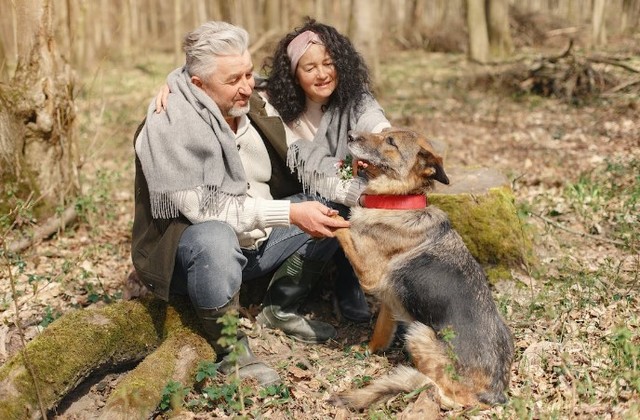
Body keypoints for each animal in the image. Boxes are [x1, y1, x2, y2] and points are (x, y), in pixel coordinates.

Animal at [330, 128, 514, 409]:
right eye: (383, 132)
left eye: (390, 142)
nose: (349, 135)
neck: (398, 203)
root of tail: (492, 395)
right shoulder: (390, 303)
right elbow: (378, 337)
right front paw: (368, 351)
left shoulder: (368, 275)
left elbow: (341, 227)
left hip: (419, 332)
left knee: (443, 393)